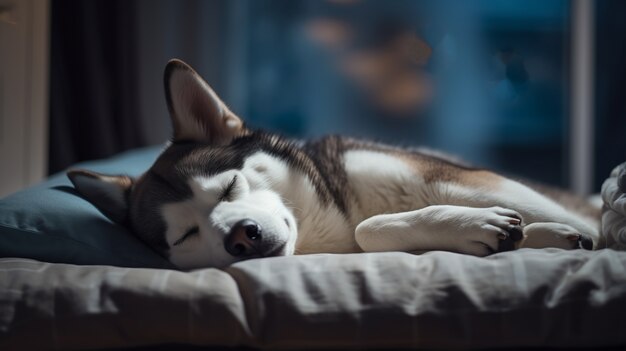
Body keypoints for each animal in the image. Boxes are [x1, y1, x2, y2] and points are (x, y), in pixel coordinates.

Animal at [66, 59, 596, 270]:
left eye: (229, 187)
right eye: (184, 236)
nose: (242, 236)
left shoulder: (471, 181)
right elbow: (369, 232)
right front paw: (494, 231)